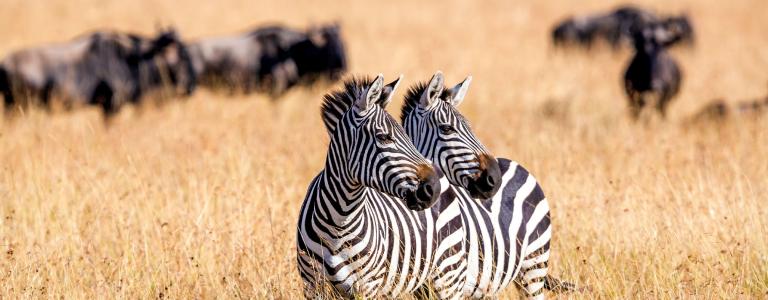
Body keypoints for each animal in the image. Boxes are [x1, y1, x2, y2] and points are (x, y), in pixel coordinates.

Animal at [296, 74, 472, 298]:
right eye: (384, 137)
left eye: (405, 135)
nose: (432, 188)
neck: (339, 222)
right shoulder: (313, 285)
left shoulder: (367, 286)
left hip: (448, 274)